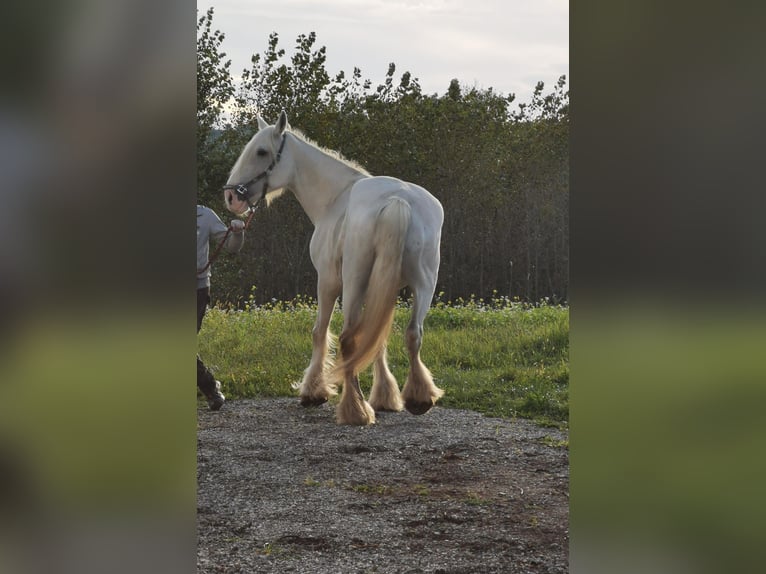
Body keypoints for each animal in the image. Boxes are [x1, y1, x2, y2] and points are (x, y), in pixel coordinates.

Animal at [223, 111, 444, 425]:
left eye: (261, 151)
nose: (232, 197)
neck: (336, 197)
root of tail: (397, 200)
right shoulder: (383, 288)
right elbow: (377, 337)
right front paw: (386, 397)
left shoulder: (327, 282)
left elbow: (320, 331)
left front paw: (314, 391)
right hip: (424, 286)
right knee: (413, 333)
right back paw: (419, 398)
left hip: (353, 284)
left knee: (348, 338)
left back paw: (355, 410)